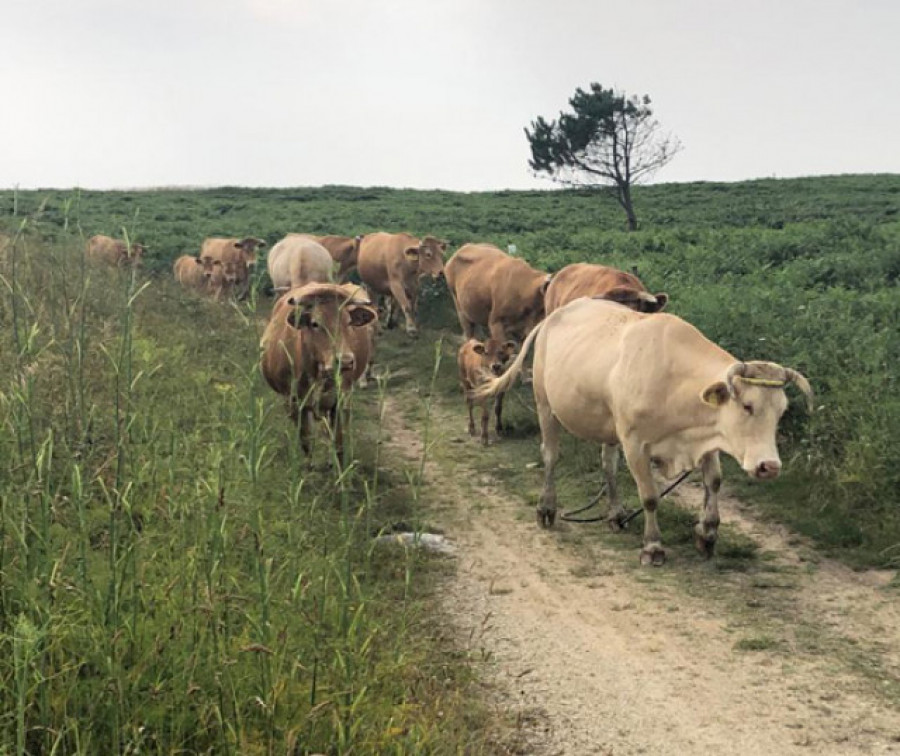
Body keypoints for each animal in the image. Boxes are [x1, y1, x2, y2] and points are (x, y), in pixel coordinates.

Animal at [260, 282, 376, 460]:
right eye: (315, 323)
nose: (345, 361)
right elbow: (306, 441)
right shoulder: (295, 403)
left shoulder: (341, 400)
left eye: (349, 322)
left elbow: (338, 443)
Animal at [474, 298, 812, 564]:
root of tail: (553, 316)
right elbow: (649, 496)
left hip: (608, 425)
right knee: (550, 456)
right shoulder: (635, 443)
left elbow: (713, 482)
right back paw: (547, 507)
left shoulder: (705, 438)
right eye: (747, 406)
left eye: (781, 411)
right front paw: (653, 546)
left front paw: (707, 533)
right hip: (546, 405)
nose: (769, 466)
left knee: (608, 465)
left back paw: (615, 514)